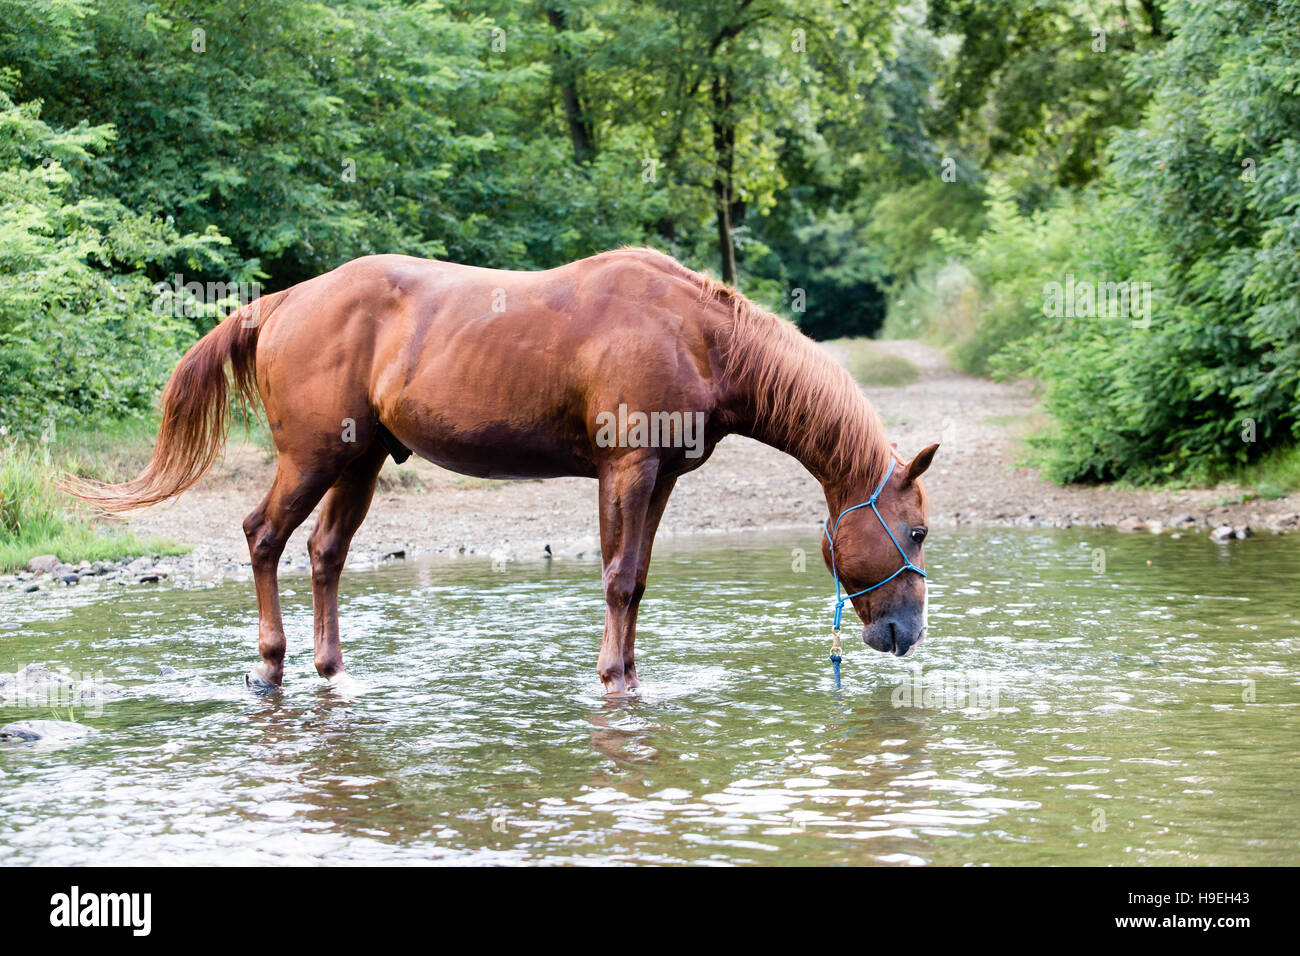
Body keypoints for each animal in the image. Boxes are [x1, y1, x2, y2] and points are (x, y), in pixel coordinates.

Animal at [71, 248, 941, 697]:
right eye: (920, 529)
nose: (905, 635)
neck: (694, 334)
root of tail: (279, 303)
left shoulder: (658, 478)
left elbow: (637, 579)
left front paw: (630, 675)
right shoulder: (626, 470)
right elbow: (618, 579)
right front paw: (612, 680)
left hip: (358, 461)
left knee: (324, 555)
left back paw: (330, 668)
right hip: (312, 458)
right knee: (262, 538)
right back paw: (270, 663)